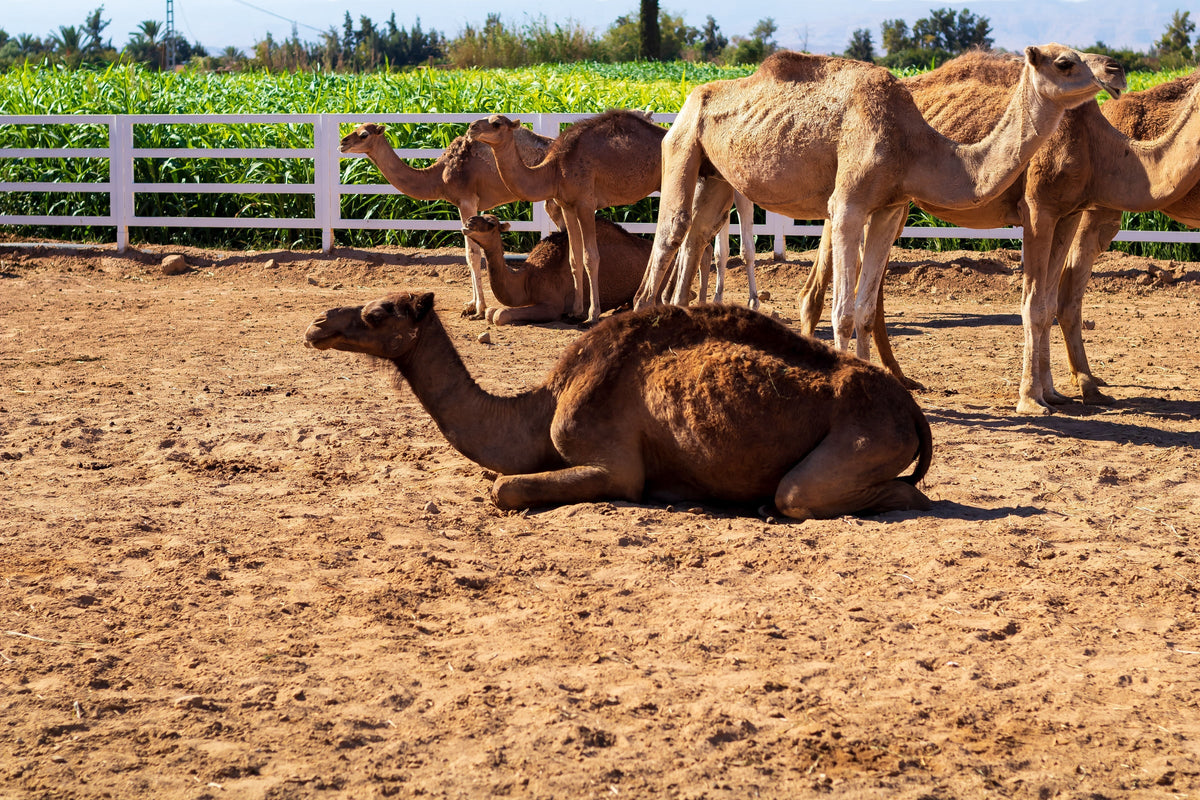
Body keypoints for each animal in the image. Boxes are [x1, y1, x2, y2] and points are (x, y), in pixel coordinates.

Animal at [304, 291, 933, 520]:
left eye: (377, 314)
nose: (317, 325)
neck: (543, 403)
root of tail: (912, 411)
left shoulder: (612, 463)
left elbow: (505, 488)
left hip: (864, 437)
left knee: (808, 494)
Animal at [337, 122, 560, 319]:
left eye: (364, 134)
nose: (342, 142)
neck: (439, 175)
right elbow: (469, 254)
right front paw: (470, 305)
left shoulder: (466, 200)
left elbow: (473, 254)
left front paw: (479, 309)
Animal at [461, 213, 651, 325]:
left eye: (491, 222)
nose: (469, 221)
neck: (527, 280)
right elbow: (490, 312)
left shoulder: (552, 305)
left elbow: (499, 314)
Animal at [633, 46, 1125, 394]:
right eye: (1065, 63)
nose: (1115, 70)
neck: (912, 144)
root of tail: (689, 99)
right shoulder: (848, 206)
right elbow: (844, 312)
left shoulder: (889, 208)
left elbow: (867, 311)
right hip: (681, 147)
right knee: (669, 237)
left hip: (715, 175)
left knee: (696, 236)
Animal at [800, 54, 1200, 413]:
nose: (1117, 69)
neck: (1103, 149)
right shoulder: (1039, 209)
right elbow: (1035, 304)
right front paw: (1032, 399)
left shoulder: (1070, 213)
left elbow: (1049, 301)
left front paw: (1053, 393)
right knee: (824, 283)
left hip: (891, 202)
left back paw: (901, 378)